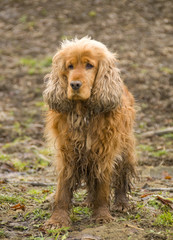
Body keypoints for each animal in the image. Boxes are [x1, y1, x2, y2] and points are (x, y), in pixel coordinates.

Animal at [43, 36, 137, 228]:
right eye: (70, 66)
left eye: (89, 65)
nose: (74, 84)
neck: (84, 113)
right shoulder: (67, 152)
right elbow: (63, 189)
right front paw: (58, 219)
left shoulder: (104, 151)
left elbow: (102, 186)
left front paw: (102, 215)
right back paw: (88, 201)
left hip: (125, 146)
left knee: (122, 174)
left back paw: (121, 203)